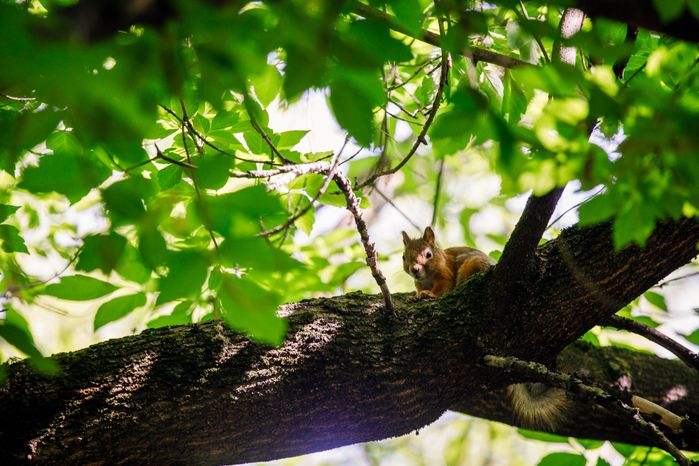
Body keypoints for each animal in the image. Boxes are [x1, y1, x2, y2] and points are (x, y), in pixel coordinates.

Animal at [401, 226, 569, 429]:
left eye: (428, 254)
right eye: (404, 256)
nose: (414, 269)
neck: (428, 277)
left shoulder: (446, 275)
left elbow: (442, 290)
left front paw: (429, 295)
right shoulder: (418, 283)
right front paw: (415, 297)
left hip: (472, 265)